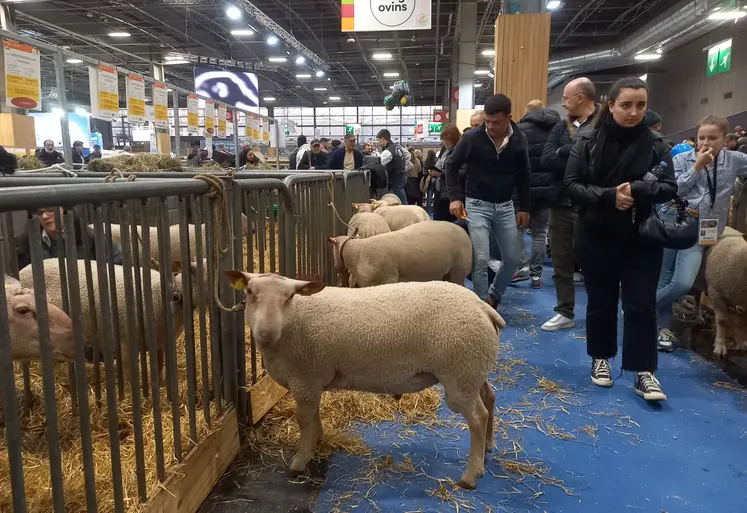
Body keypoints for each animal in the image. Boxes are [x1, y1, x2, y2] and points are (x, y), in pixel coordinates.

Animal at [224, 272, 504, 489]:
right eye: (250, 292)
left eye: (289, 297)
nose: (266, 333)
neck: (292, 322)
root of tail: (482, 306)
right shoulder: (312, 379)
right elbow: (313, 415)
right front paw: (318, 439)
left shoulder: (304, 378)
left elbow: (303, 420)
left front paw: (299, 461)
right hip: (474, 368)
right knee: (489, 398)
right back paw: (487, 448)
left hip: (460, 372)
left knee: (477, 417)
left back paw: (471, 475)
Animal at [328, 220, 472, 288]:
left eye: (332, 247)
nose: (335, 267)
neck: (356, 253)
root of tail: (464, 232)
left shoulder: (387, 279)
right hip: (446, 274)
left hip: (458, 270)